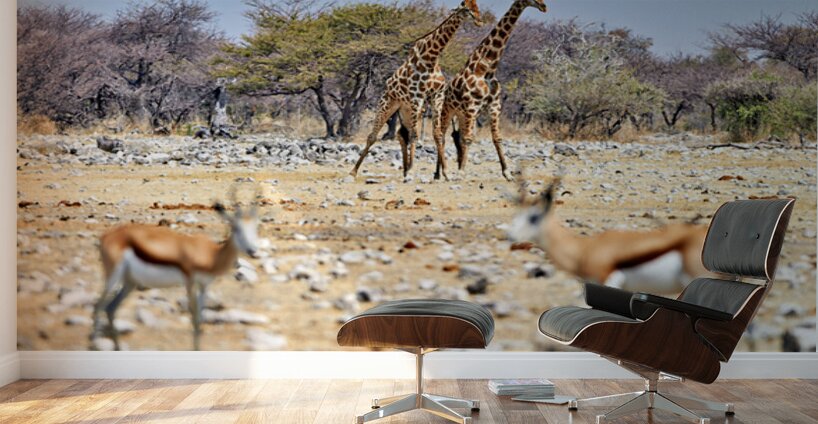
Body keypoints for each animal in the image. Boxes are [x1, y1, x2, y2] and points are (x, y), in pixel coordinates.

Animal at [350, 0, 482, 179]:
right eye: (466, 8)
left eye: (476, 6)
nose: (479, 21)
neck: (431, 58)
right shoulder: (416, 96)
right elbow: (415, 135)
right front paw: (413, 170)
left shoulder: (436, 96)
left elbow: (437, 134)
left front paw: (445, 173)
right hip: (388, 103)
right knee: (373, 136)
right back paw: (354, 171)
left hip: (406, 109)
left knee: (402, 134)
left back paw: (405, 170)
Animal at [433, 0, 547, 181]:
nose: (544, 6)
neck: (487, 69)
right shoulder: (472, 106)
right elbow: (469, 138)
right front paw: (461, 171)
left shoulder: (494, 105)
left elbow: (497, 138)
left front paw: (507, 172)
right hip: (447, 111)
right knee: (443, 135)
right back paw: (439, 173)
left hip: (462, 114)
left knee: (457, 136)